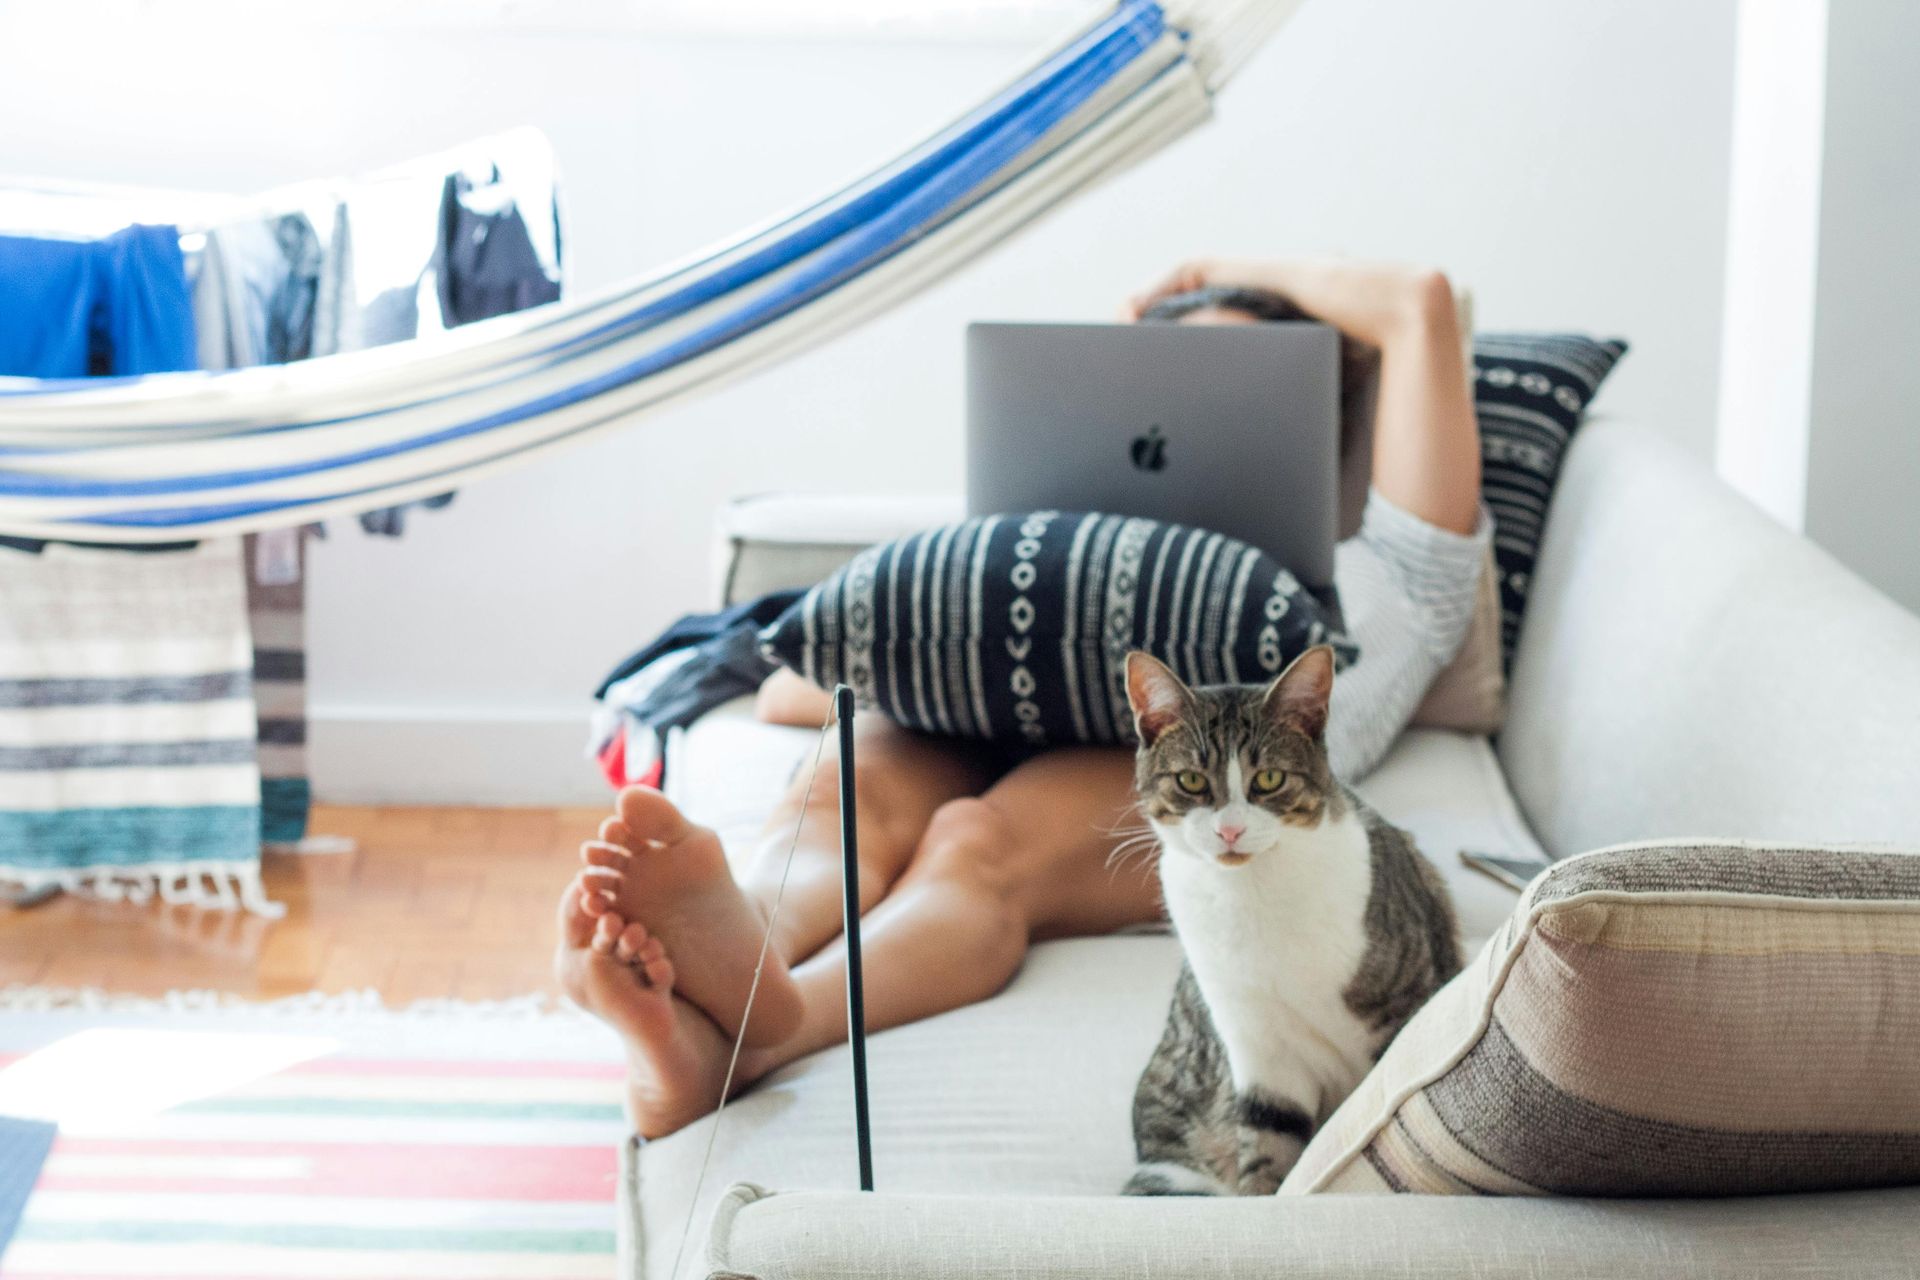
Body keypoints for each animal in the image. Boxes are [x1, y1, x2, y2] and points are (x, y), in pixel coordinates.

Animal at [1121, 652, 1451, 1205]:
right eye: (1191, 781)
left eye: (1270, 779)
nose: (1229, 830)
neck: (1253, 895)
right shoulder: (1259, 1048)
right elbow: (1270, 1140)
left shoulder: (1402, 1006)